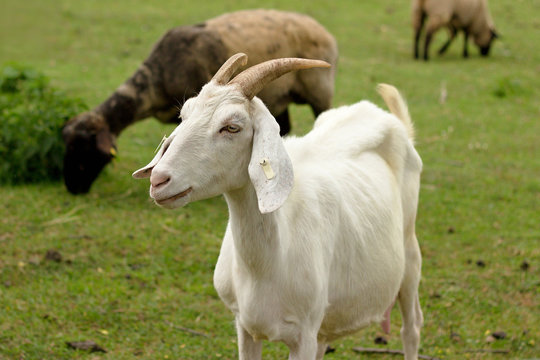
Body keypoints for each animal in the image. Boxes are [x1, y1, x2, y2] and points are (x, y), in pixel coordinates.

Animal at [133, 54, 424, 360]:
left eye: (232, 127)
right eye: (184, 115)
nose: (159, 179)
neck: (264, 266)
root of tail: (389, 119)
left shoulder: (303, 334)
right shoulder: (244, 326)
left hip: (409, 255)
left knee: (412, 327)